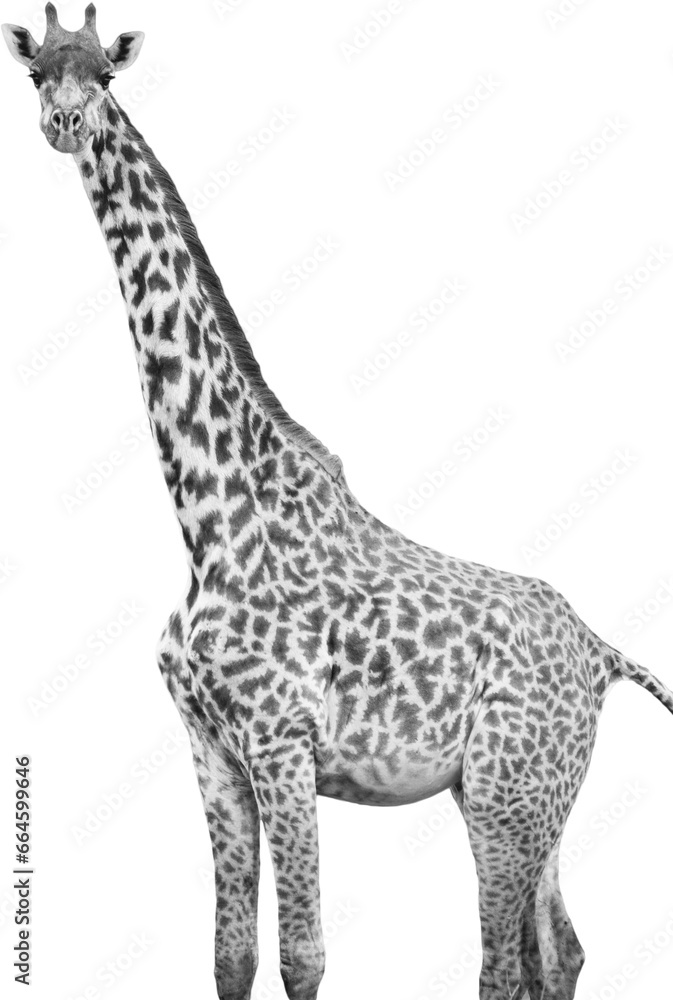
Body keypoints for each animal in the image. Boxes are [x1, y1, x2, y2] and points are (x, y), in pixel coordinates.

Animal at [4, 7, 672, 999]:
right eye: (38, 72)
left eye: (107, 75)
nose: (66, 123)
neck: (207, 523)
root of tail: (599, 653)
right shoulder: (209, 749)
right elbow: (230, 958)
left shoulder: (280, 740)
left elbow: (304, 958)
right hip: (529, 795)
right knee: (562, 951)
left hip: (505, 795)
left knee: (503, 965)